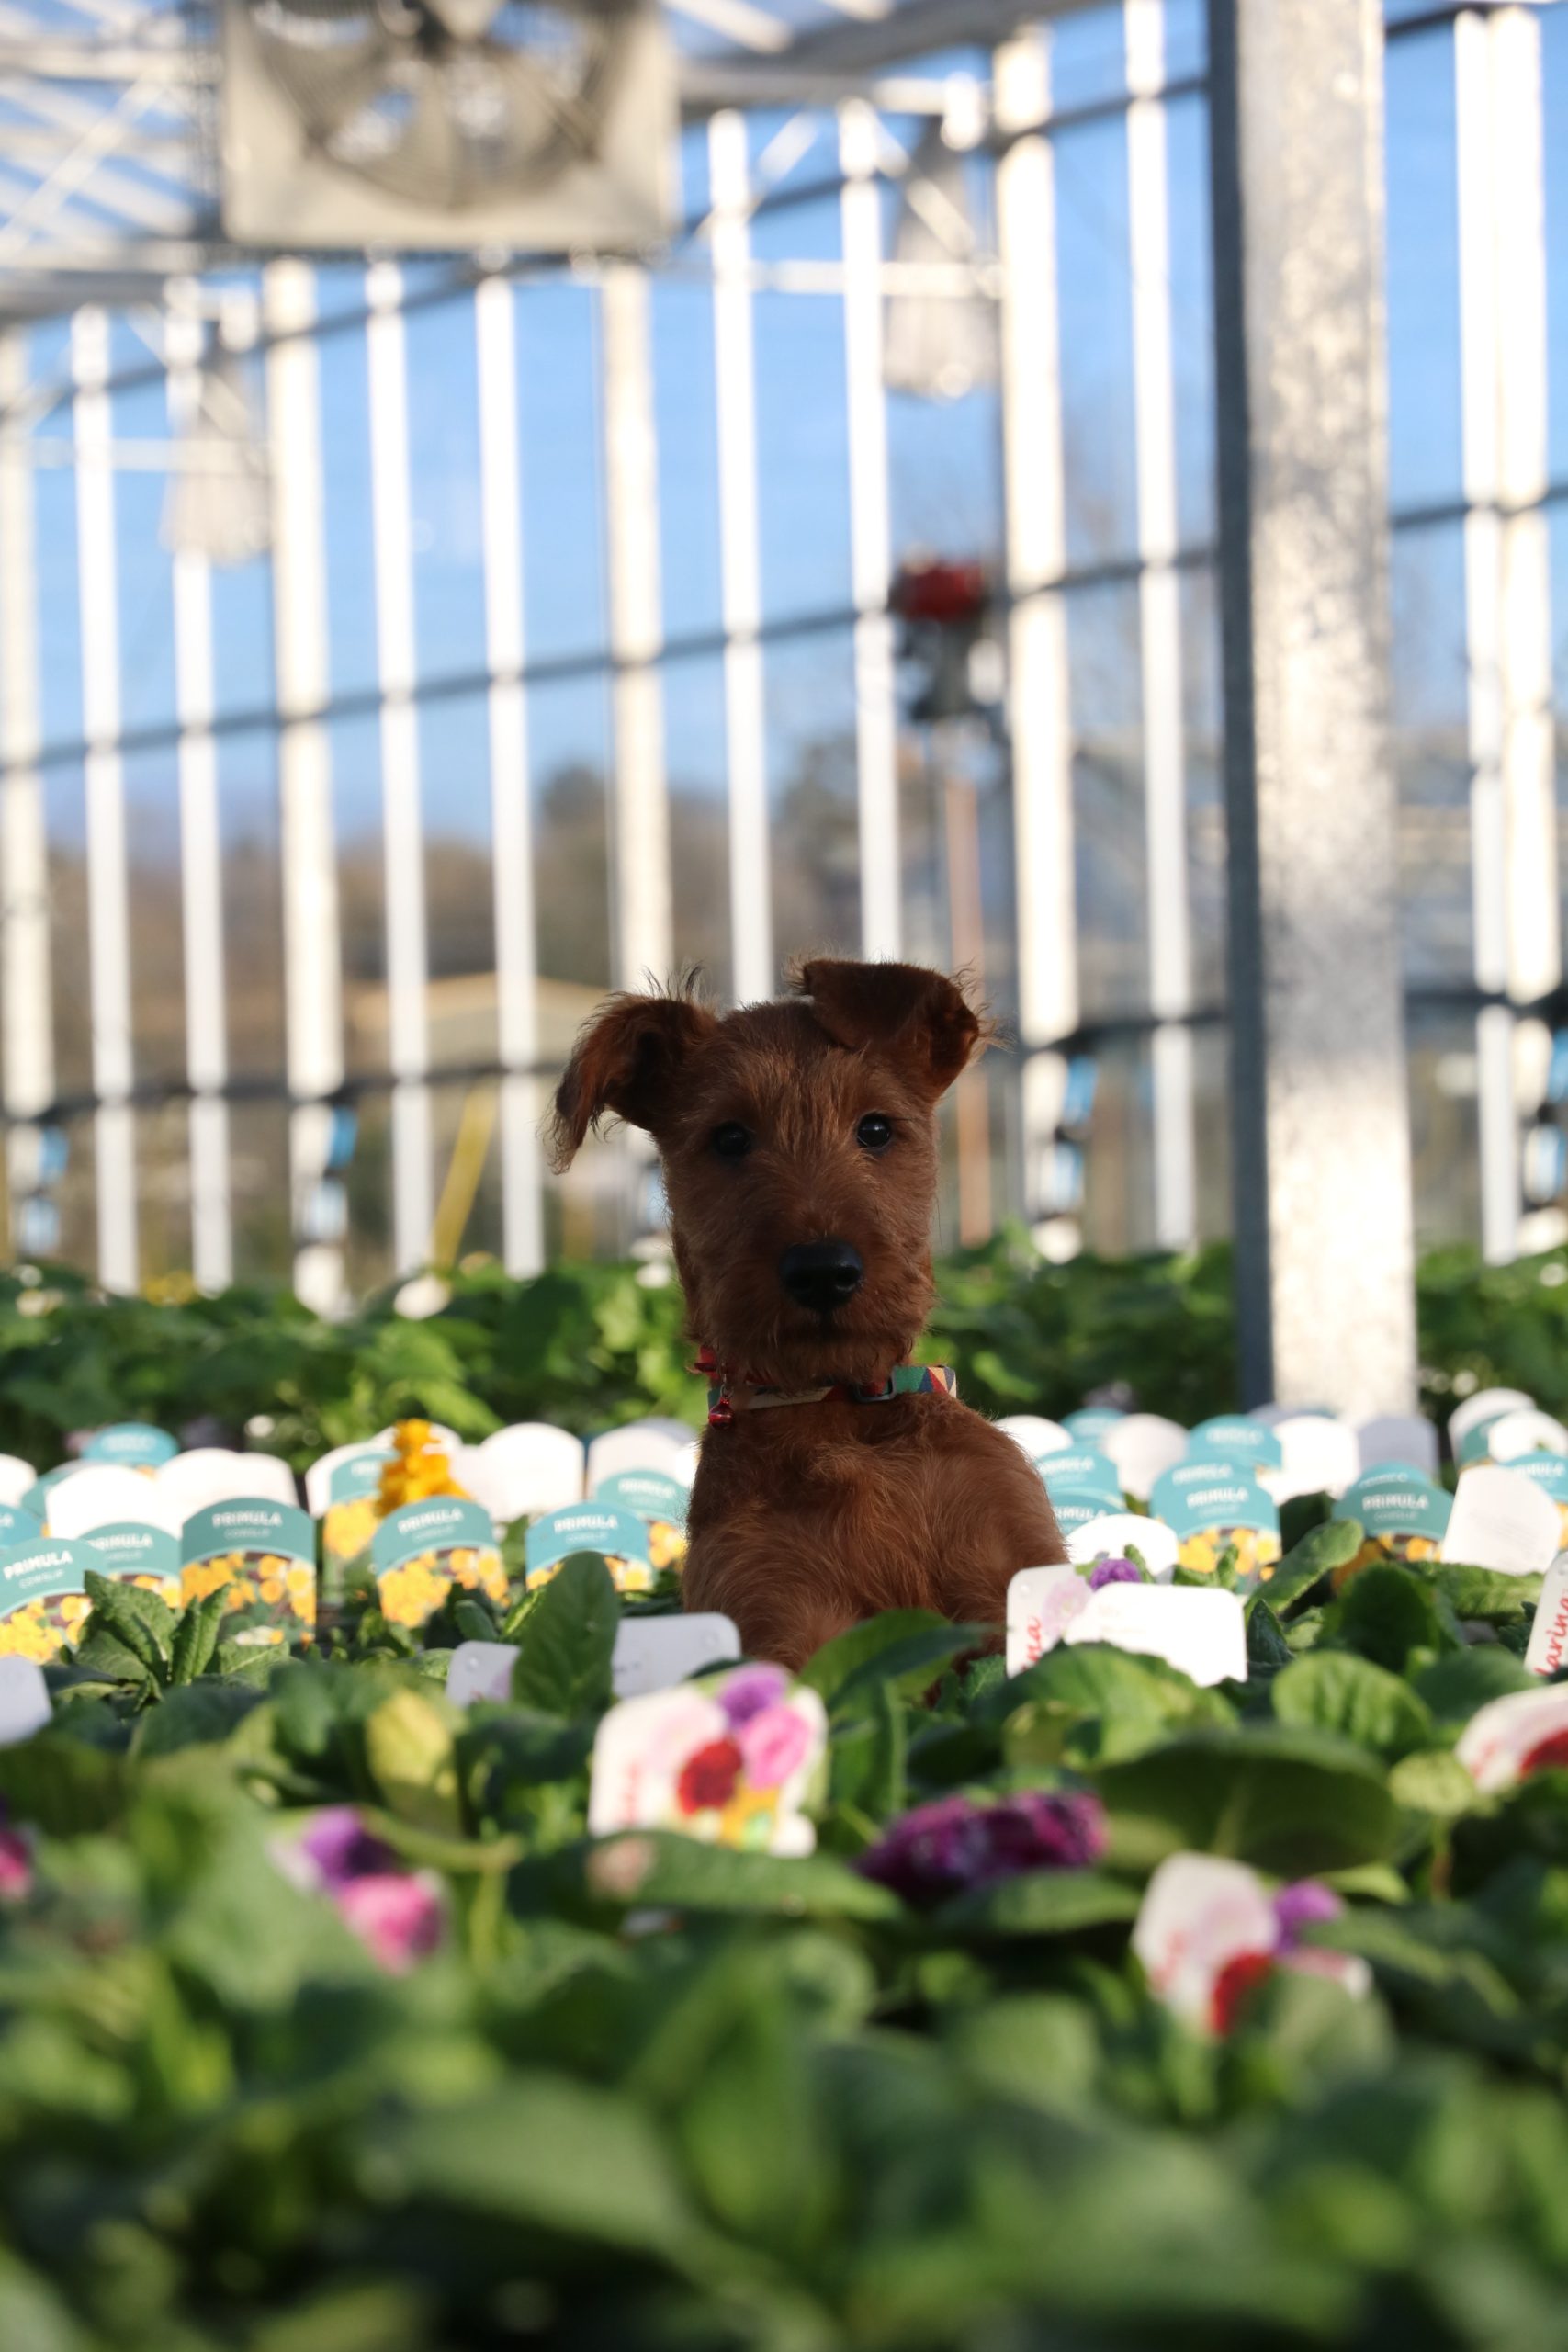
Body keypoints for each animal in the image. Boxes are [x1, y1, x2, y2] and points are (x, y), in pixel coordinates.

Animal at [549, 955, 1066, 1674]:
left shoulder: (1009, 1574)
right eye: (729, 1137)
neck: (837, 1411)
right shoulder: (780, 1617)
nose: (823, 1271)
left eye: (875, 1129)